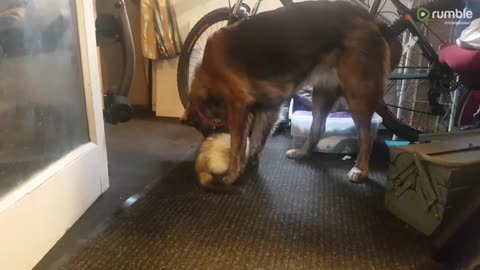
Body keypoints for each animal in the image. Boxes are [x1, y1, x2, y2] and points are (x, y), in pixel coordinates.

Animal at [182, 0, 404, 184]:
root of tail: (374, 21)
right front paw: (249, 164)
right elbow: (255, 140)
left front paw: (233, 173)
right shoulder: (268, 109)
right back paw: (302, 152)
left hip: (358, 96)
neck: (208, 74)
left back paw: (360, 169)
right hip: (322, 94)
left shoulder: (238, 105)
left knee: (366, 136)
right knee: (317, 128)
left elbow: (238, 144)